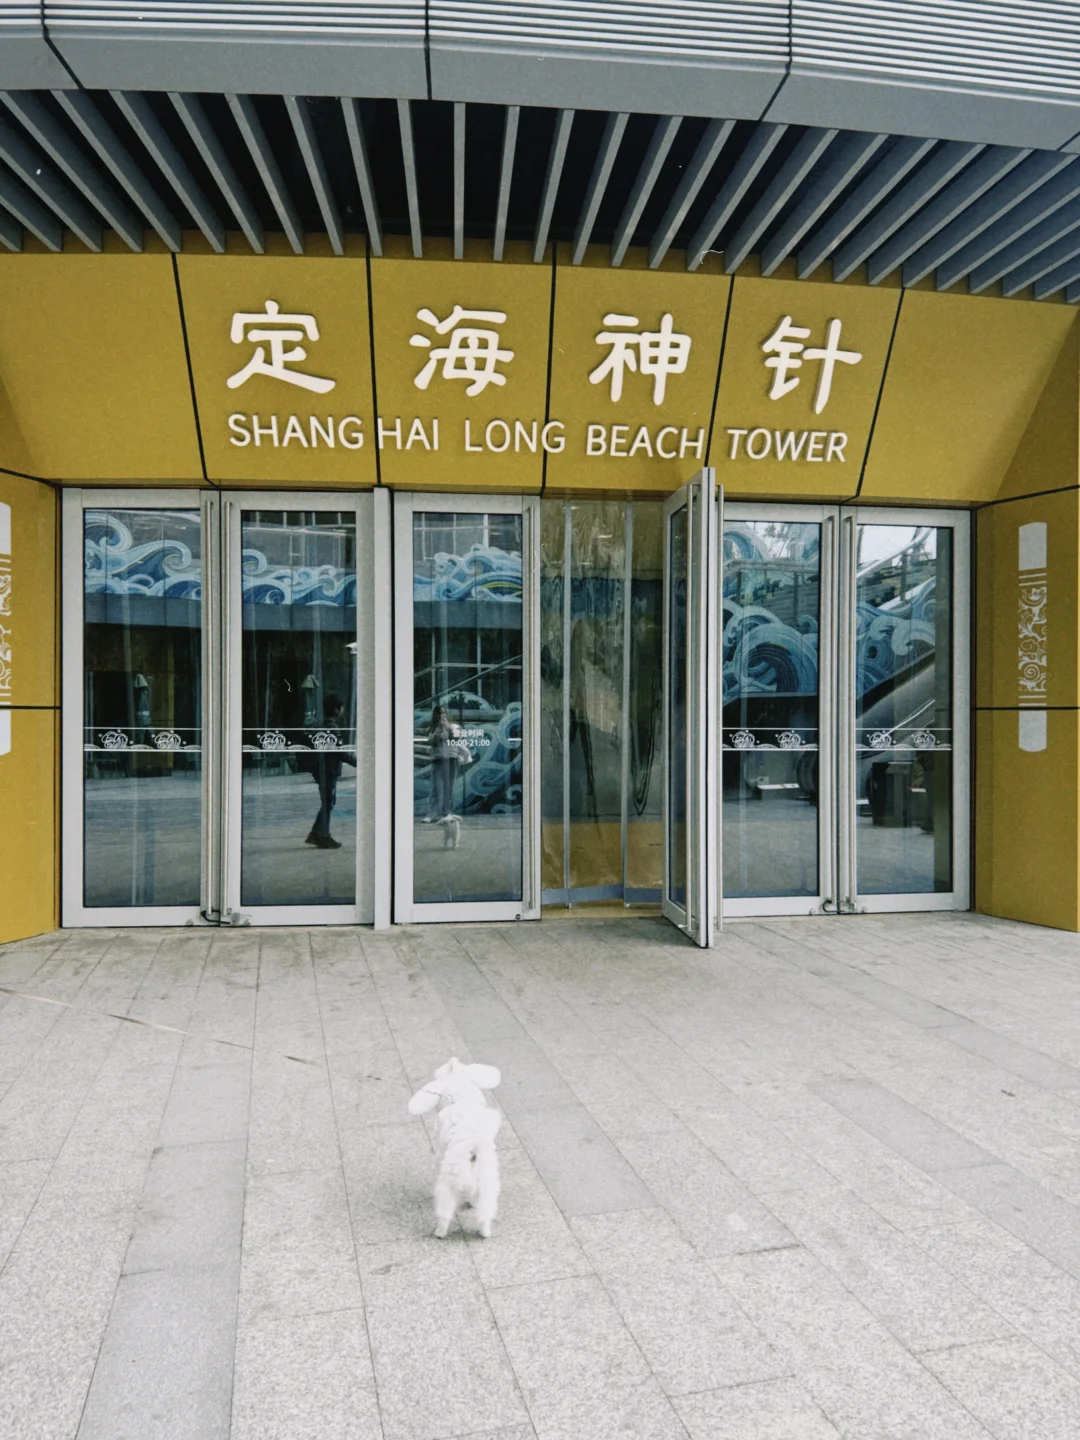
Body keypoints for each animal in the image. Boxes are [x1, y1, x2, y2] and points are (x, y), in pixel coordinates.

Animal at [408, 1058, 501, 1238]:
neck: (460, 1095)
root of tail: (472, 1149)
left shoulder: (440, 1154)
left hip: (448, 1184)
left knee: (445, 1214)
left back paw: (440, 1232)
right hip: (486, 1184)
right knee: (484, 1213)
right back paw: (484, 1232)